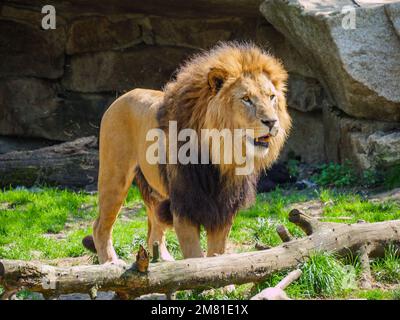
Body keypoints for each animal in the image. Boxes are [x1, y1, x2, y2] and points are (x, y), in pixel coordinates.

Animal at [83, 42, 292, 262]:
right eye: (246, 99)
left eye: (271, 97)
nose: (272, 122)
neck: (221, 156)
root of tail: (122, 96)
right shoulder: (184, 207)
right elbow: (195, 257)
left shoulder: (223, 209)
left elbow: (217, 254)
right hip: (114, 178)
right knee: (100, 227)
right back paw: (110, 263)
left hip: (156, 192)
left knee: (153, 229)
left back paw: (164, 261)